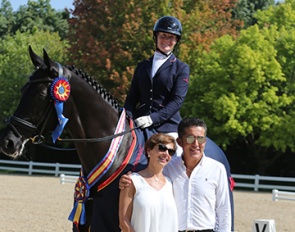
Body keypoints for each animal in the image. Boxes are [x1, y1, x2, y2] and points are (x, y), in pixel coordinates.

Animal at [0, 46, 236, 231]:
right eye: (22, 90)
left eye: (41, 95)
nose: (8, 141)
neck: (115, 148)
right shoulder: (85, 213)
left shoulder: (109, 217)